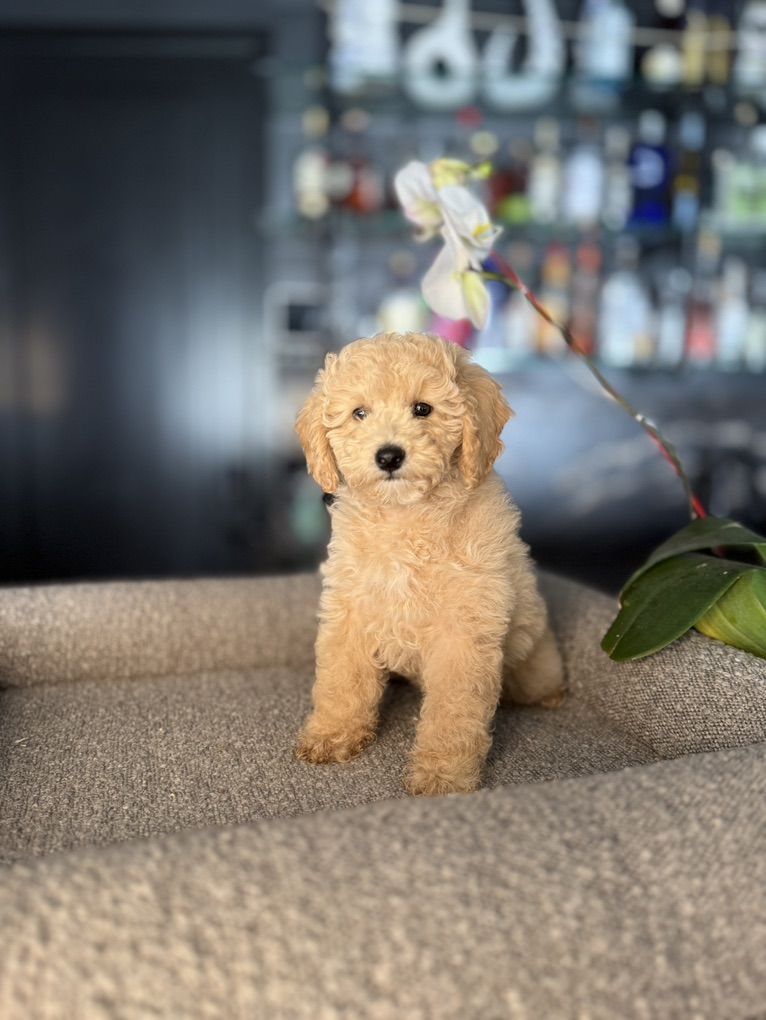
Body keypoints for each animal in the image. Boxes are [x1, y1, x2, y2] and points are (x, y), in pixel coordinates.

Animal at [294, 331, 565, 796]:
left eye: (422, 408)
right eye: (359, 413)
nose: (388, 456)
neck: (407, 516)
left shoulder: (463, 631)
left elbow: (453, 711)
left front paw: (442, 776)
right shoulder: (350, 609)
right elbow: (342, 679)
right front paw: (332, 734)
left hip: (531, 647)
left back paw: (551, 694)